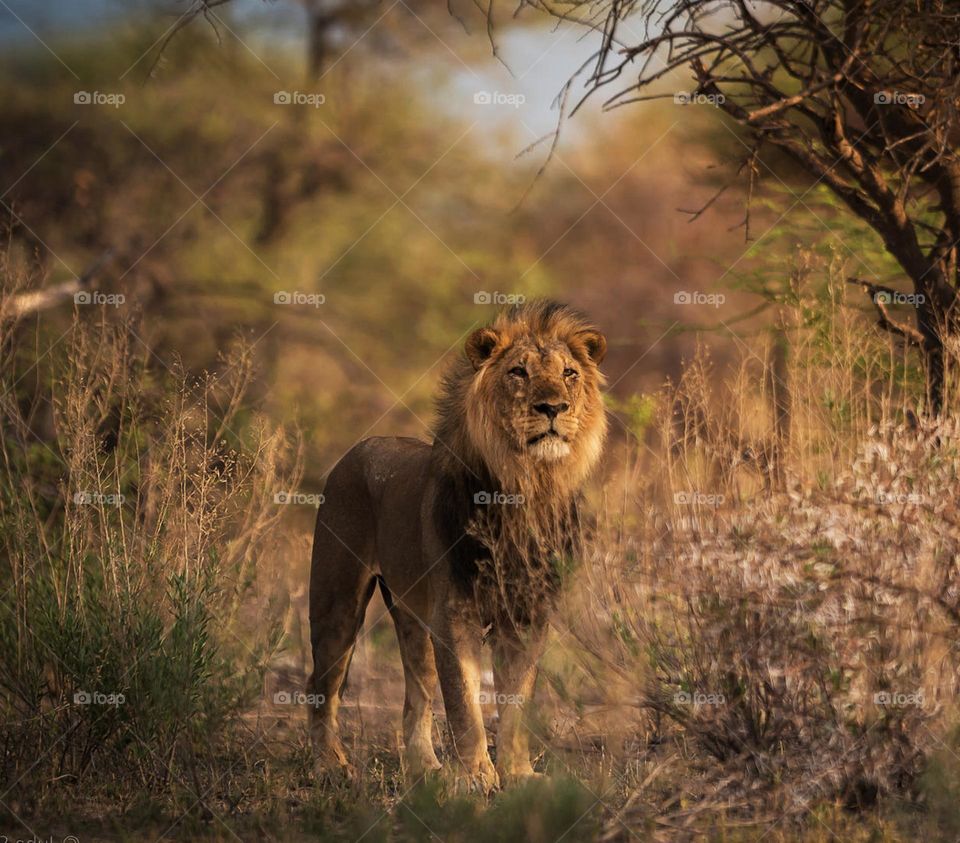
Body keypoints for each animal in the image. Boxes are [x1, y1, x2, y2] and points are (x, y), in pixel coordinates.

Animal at [308, 300, 608, 788]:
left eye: (569, 373)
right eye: (519, 372)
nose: (553, 407)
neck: (526, 486)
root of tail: (360, 446)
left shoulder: (526, 618)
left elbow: (516, 705)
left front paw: (518, 775)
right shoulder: (454, 617)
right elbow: (465, 706)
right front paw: (477, 779)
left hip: (413, 620)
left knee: (416, 697)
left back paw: (424, 766)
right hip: (338, 603)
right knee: (321, 685)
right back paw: (330, 765)